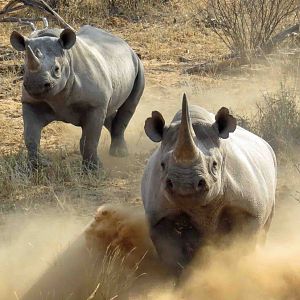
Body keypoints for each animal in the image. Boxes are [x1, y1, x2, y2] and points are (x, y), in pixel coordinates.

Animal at [9, 25, 145, 169]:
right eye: (24, 69)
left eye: (57, 69)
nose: (35, 85)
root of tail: (126, 45)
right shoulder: (31, 102)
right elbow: (31, 136)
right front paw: (35, 167)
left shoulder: (95, 105)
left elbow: (89, 139)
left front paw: (94, 169)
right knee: (109, 110)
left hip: (138, 65)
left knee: (129, 106)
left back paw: (119, 153)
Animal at [142, 94, 278, 274]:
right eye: (162, 165)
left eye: (214, 164)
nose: (184, 185)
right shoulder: (159, 217)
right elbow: (173, 258)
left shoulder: (249, 210)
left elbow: (240, 248)